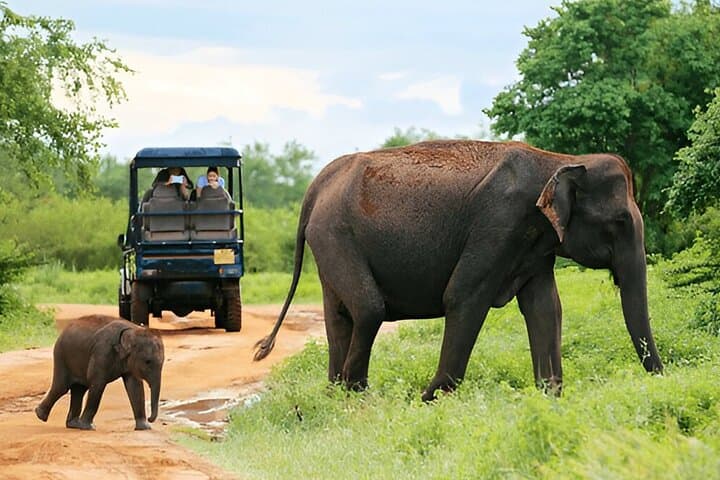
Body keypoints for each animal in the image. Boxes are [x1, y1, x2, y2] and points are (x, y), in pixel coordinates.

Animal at [35, 315, 164, 430]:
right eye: (147, 362)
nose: (150, 419)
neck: (133, 330)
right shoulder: (102, 352)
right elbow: (98, 383)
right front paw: (89, 427)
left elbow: (135, 387)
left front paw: (144, 428)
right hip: (61, 355)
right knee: (62, 387)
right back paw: (40, 415)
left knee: (79, 389)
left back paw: (73, 424)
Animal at [254, 140, 663, 401]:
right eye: (620, 222)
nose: (662, 378)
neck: (560, 159)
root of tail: (317, 183)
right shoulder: (498, 223)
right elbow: (464, 296)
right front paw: (429, 399)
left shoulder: (534, 243)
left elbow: (545, 307)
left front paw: (549, 397)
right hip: (336, 235)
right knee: (369, 310)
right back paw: (354, 394)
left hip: (328, 239)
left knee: (340, 315)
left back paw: (336, 395)